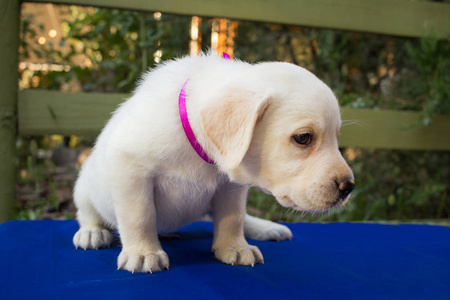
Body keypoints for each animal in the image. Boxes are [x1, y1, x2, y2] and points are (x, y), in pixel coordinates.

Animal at [73, 52, 356, 274]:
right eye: (303, 138)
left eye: (336, 137)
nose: (349, 187)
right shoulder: (131, 169)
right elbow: (139, 215)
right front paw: (143, 253)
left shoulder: (231, 187)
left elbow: (232, 218)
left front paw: (234, 247)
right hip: (84, 187)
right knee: (87, 213)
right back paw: (93, 233)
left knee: (243, 218)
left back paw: (265, 228)